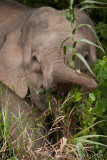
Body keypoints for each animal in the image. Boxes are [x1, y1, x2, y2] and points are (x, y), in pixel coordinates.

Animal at [0, 0, 97, 159]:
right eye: (35, 58)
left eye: (87, 57)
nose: (95, 85)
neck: (23, 20)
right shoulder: (8, 86)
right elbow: (28, 139)